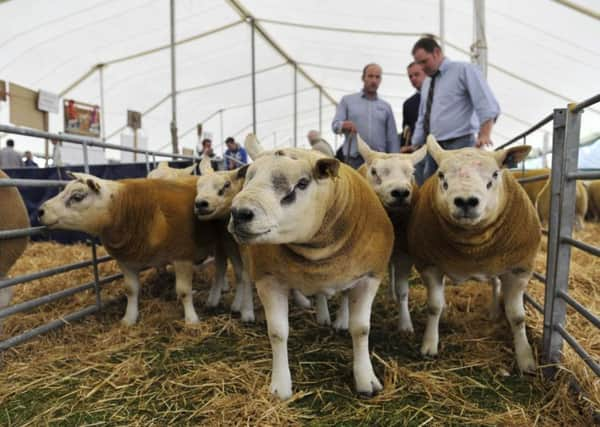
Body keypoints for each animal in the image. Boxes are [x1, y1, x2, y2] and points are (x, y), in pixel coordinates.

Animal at [39, 172, 218, 326]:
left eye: (77, 196)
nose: (40, 211)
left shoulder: (182, 255)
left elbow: (184, 291)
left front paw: (191, 320)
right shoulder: (126, 261)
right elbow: (131, 290)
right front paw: (129, 319)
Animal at [229, 135, 394, 400]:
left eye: (302, 183)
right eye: (249, 177)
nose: (240, 213)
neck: (316, 252)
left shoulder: (369, 276)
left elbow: (361, 330)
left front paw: (366, 380)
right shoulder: (268, 279)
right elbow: (277, 332)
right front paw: (281, 386)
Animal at [408, 137, 544, 374]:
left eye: (495, 175)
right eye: (441, 175)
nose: (465, 201)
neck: (472, 246)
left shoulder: (519, 268)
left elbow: (517, 317)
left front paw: (525, 358)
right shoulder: (429, 264)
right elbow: (434, 307)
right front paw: (429, 344)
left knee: (495, 284)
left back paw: (494, 312)